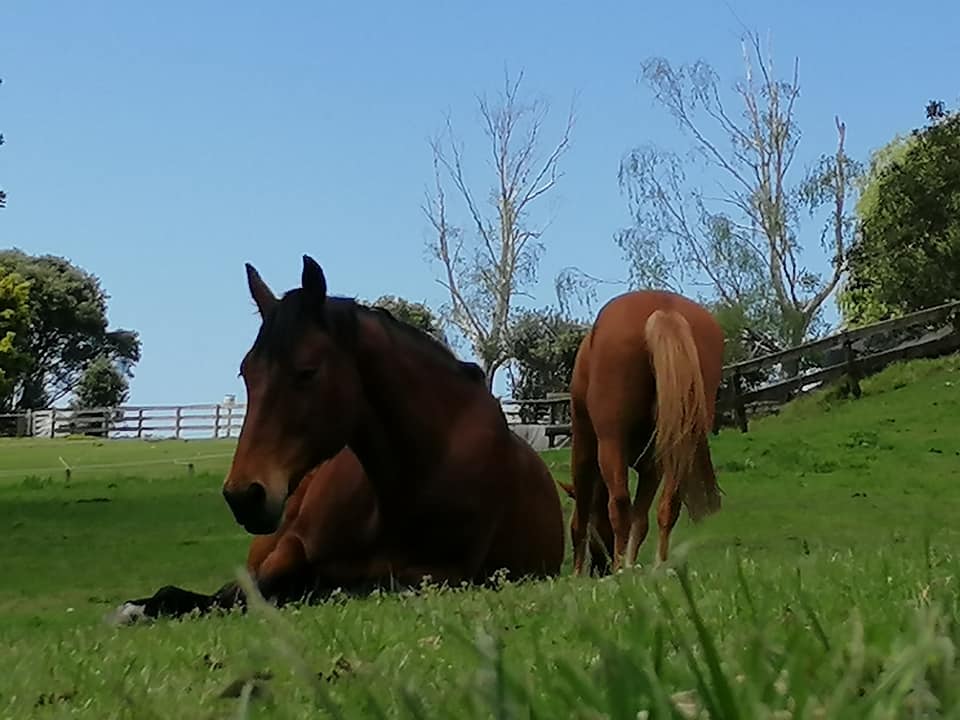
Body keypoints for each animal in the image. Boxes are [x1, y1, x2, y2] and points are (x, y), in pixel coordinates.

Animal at [568, 290, 724, 576]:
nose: (601, 566)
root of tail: (663, 309)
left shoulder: (585, 449)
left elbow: (582, 517)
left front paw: (579, 573)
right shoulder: (653, 466)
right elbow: (641, 520)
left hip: (610, 443)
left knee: (619, 504)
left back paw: (621, 568)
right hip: (680, 446)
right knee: (668, 505)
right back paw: (660, 565)